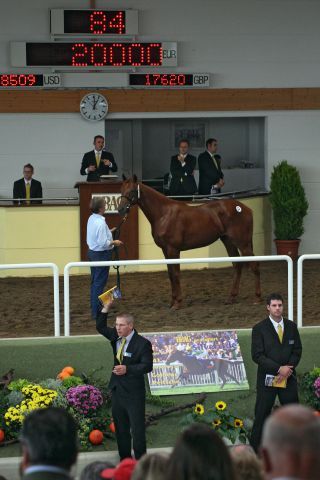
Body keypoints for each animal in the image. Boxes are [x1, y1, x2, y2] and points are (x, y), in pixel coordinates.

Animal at [119, 175, 262, 308]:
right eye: (122, 189)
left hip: (243, 243)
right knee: (237, 266)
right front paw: (172, 302)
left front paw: (178, 303)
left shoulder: (173, 249)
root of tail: (244, 208)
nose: (121, 210)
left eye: (132, 191)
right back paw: (231, 298)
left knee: (254, 265)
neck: (164, 214)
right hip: (228, 241)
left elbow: (176, 274)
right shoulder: (165, 250)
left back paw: (257, 298)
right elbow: (170, 274)